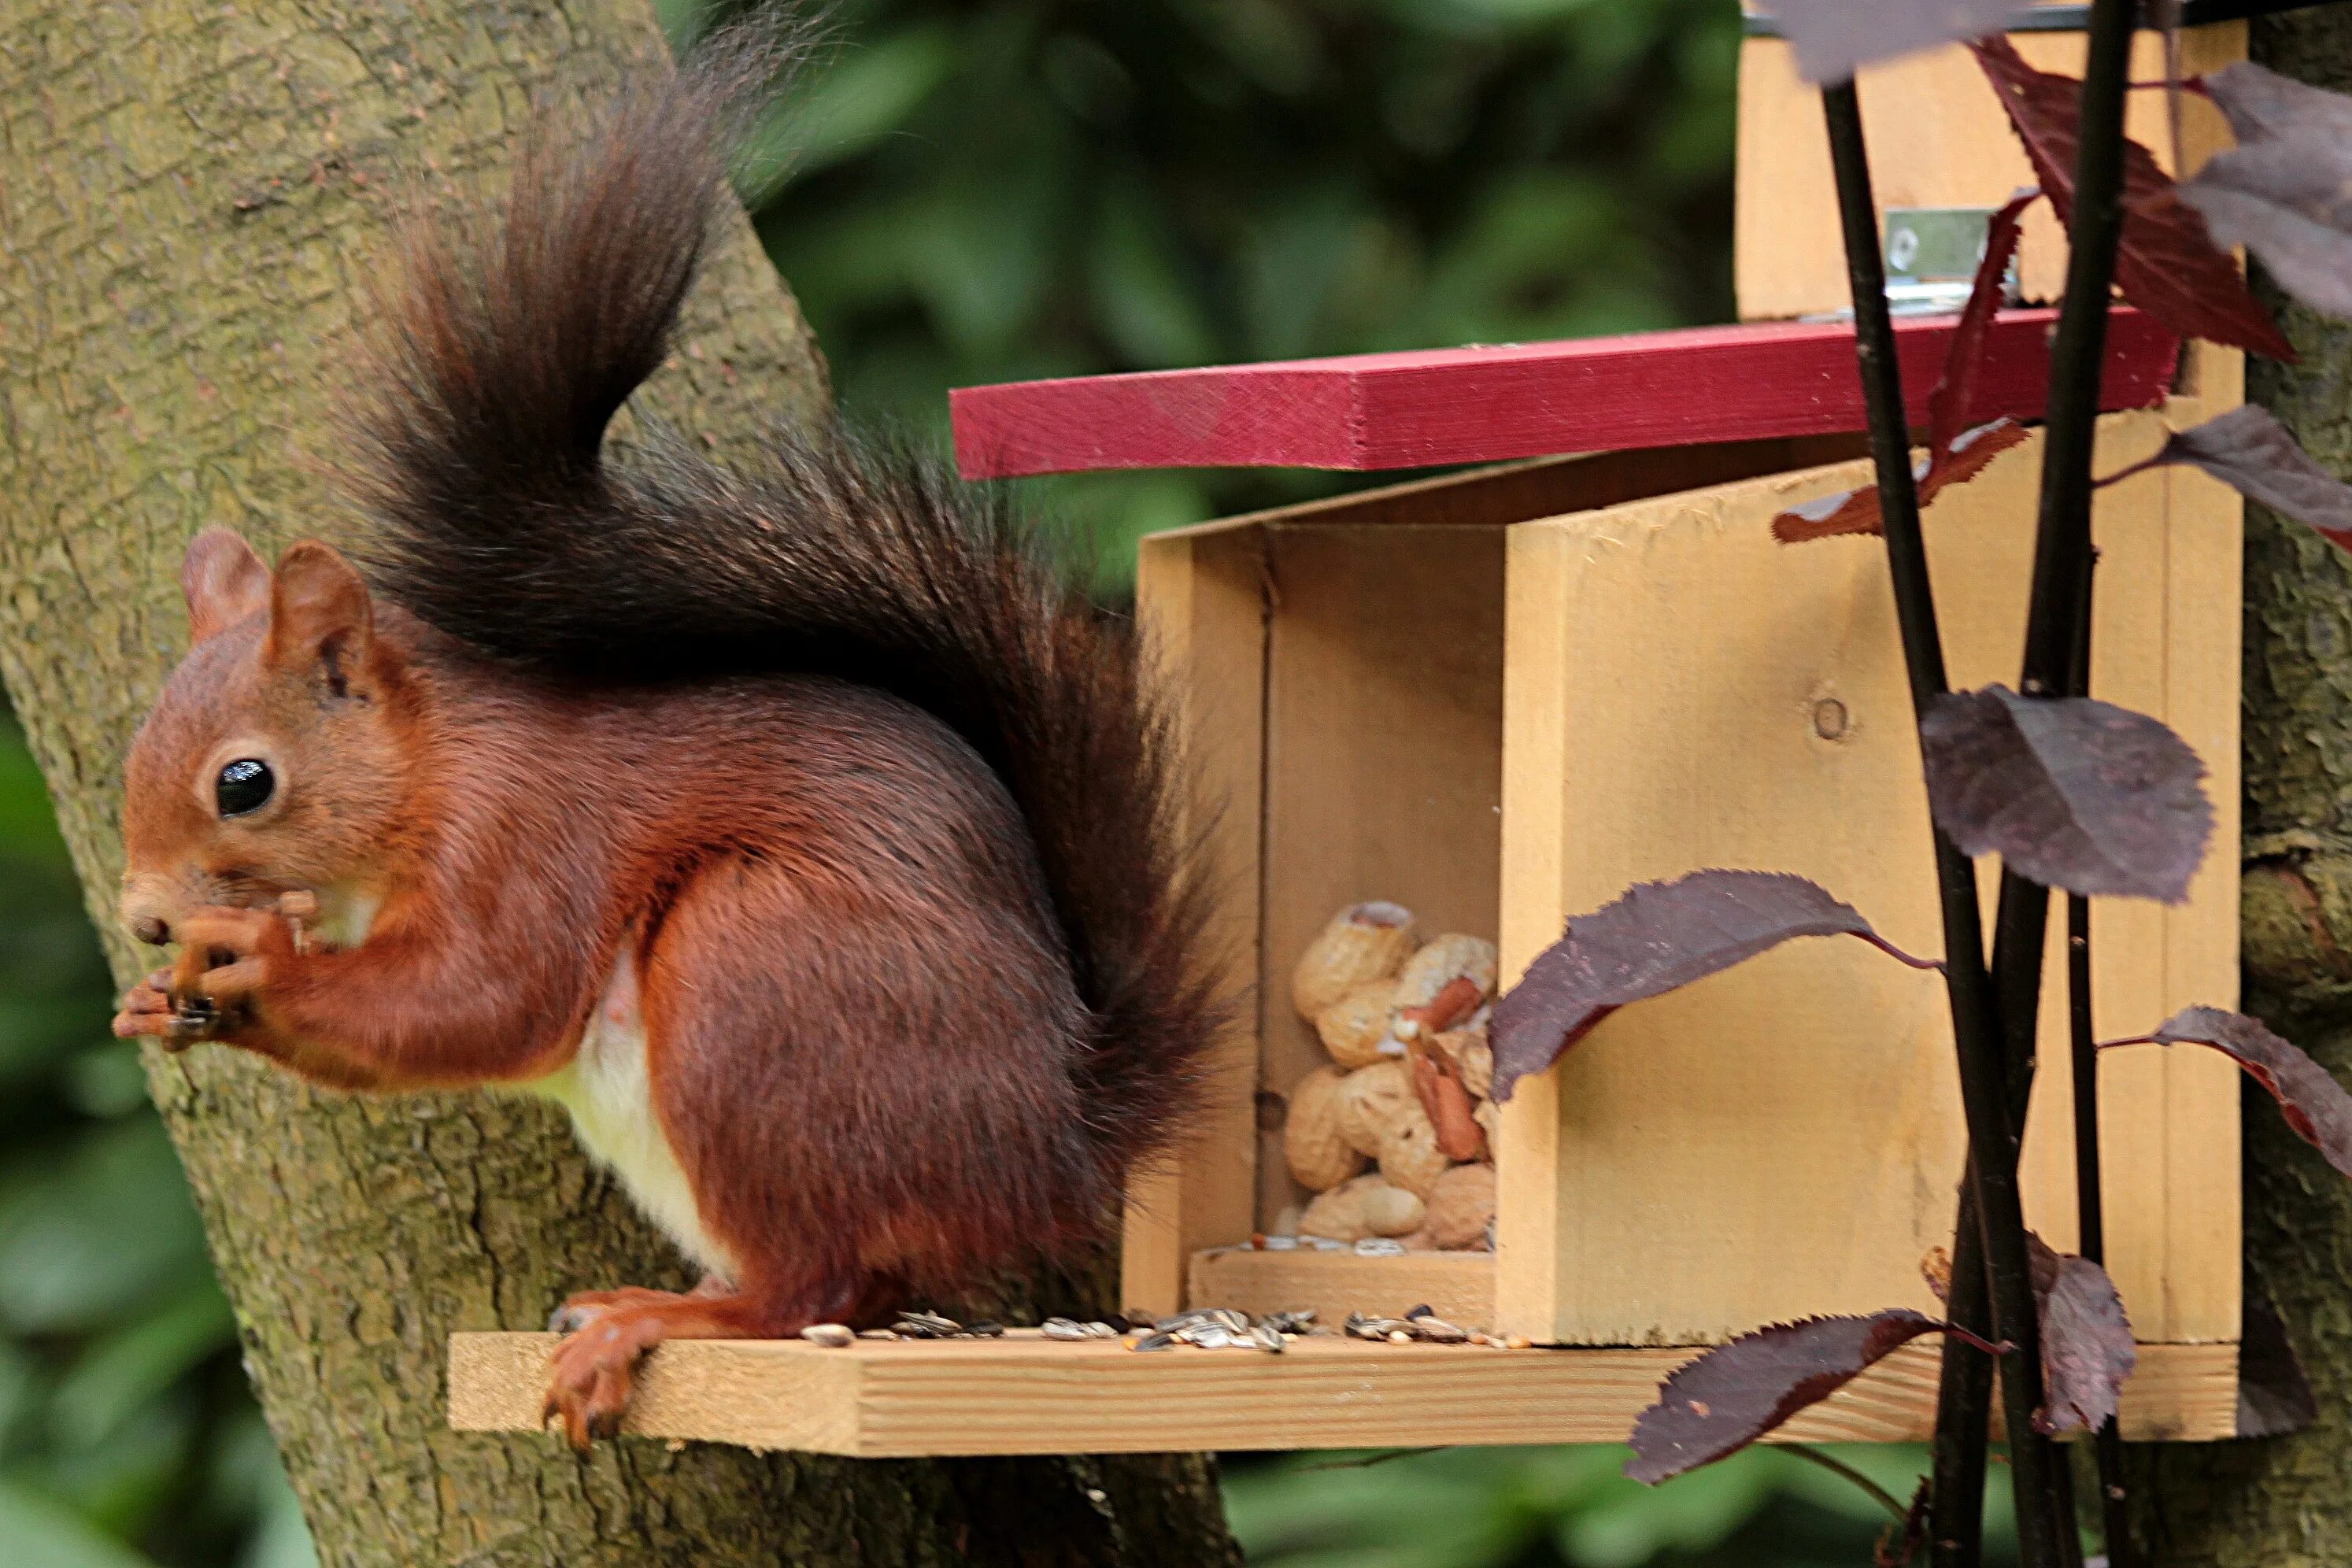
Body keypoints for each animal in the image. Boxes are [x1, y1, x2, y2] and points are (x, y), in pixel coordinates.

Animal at [110, 43, 1213, 1457]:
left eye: (245, 782)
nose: (144, 918)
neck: (430, 768)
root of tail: (1052, 1137)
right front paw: (159, 1001)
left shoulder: (526, 837)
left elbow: (482, 996)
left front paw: (262, 965)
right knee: (858, 1286)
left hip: (763, 976)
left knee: (814, 1288)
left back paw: (664, 1319)